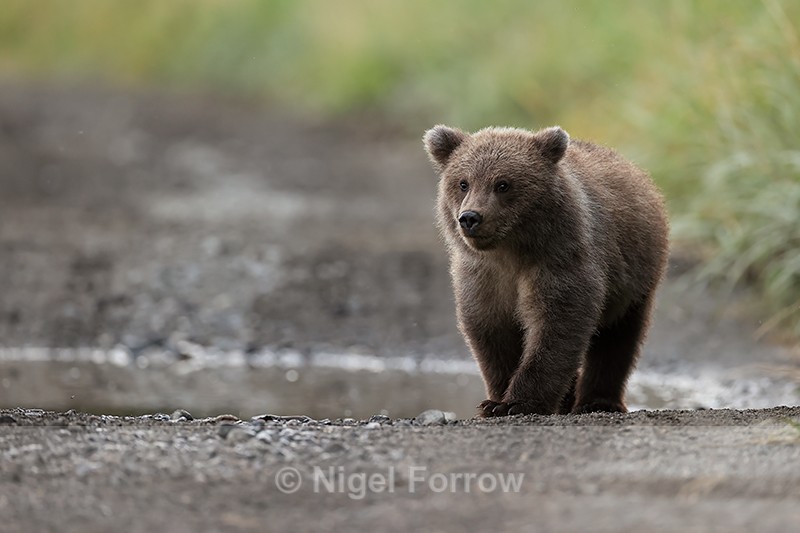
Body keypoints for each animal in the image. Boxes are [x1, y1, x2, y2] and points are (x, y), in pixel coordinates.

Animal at [423, 125, 669, 416]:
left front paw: (519, 402)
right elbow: (490, 331)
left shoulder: (559, 261)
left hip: (633, 280)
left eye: (503, 183)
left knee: (618, 337)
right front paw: (494, 401)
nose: (470, 217)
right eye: (463, 183)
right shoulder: (482, 277)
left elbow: (556, 326)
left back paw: (597, 401)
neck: (509, 253)